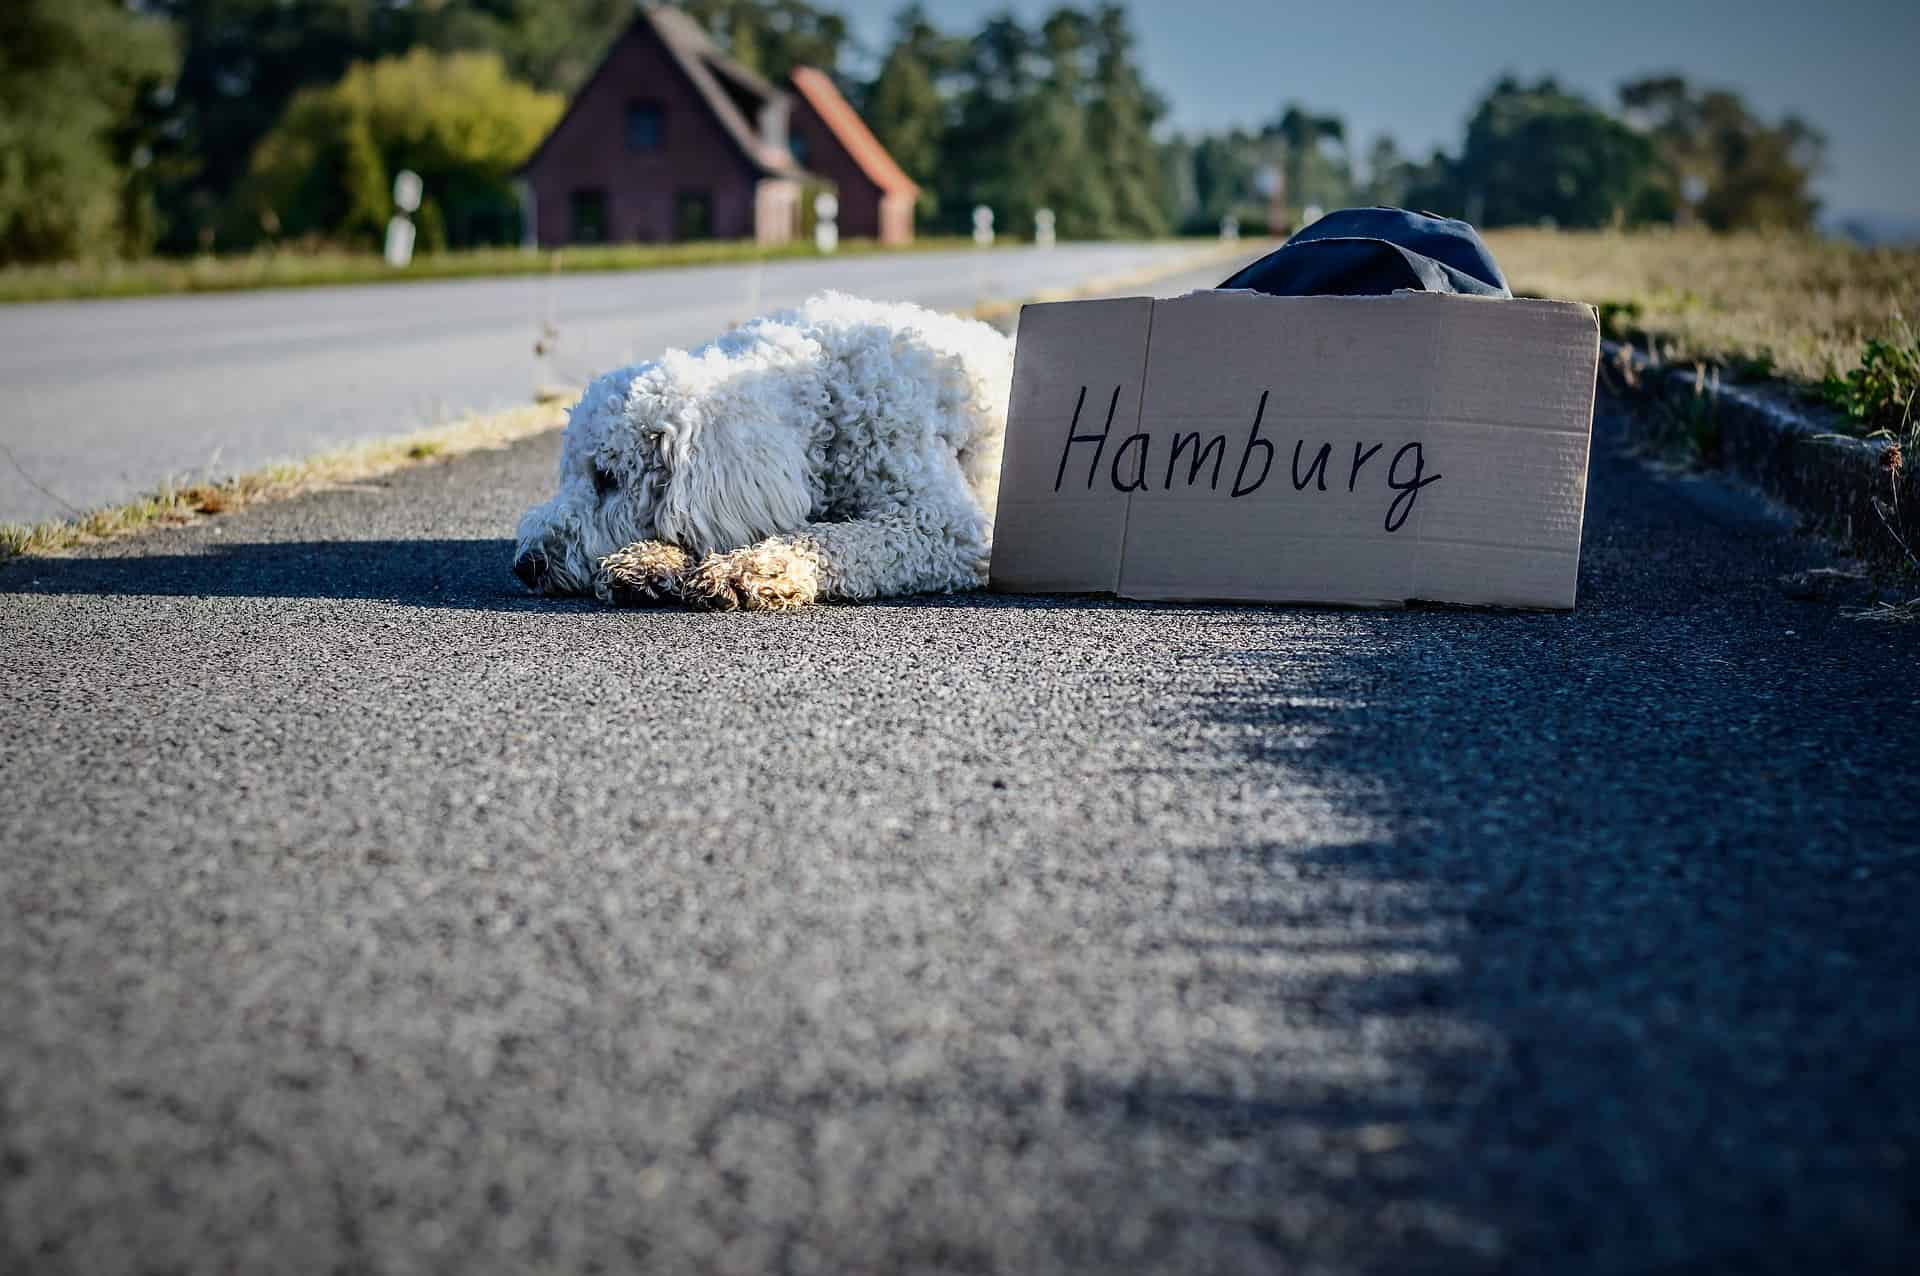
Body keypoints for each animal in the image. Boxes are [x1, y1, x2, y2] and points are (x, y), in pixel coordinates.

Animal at [512, 294, 1014, 610]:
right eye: (567, 477)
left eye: (608, 478)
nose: (526, 565)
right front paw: (649, 561)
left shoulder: (941, 526)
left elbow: (834, 538)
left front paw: (751, 568)